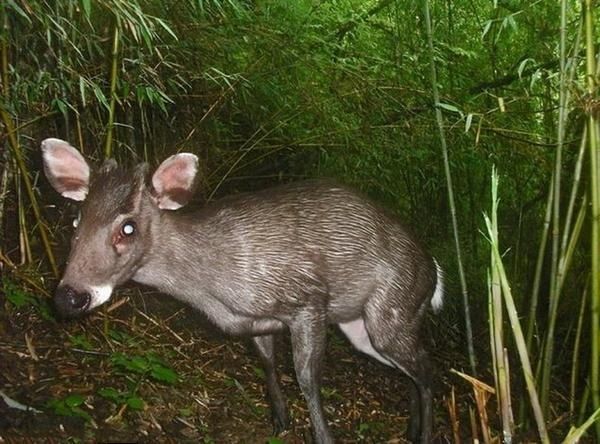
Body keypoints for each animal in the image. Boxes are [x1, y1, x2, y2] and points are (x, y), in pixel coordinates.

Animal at [42, 137, 442, 442]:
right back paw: (411, 429)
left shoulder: (308, 298)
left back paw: (425, 434)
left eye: (128, 228)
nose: (69, 297)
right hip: (362, 329)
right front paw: (280, 420)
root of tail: (435, 271)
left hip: (393, 307)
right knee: (410, 369)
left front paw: (321, 435)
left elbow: (308, 380)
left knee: (426, 366)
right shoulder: (258, 320)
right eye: (76, 220)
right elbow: (267, 362)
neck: (216, 290)